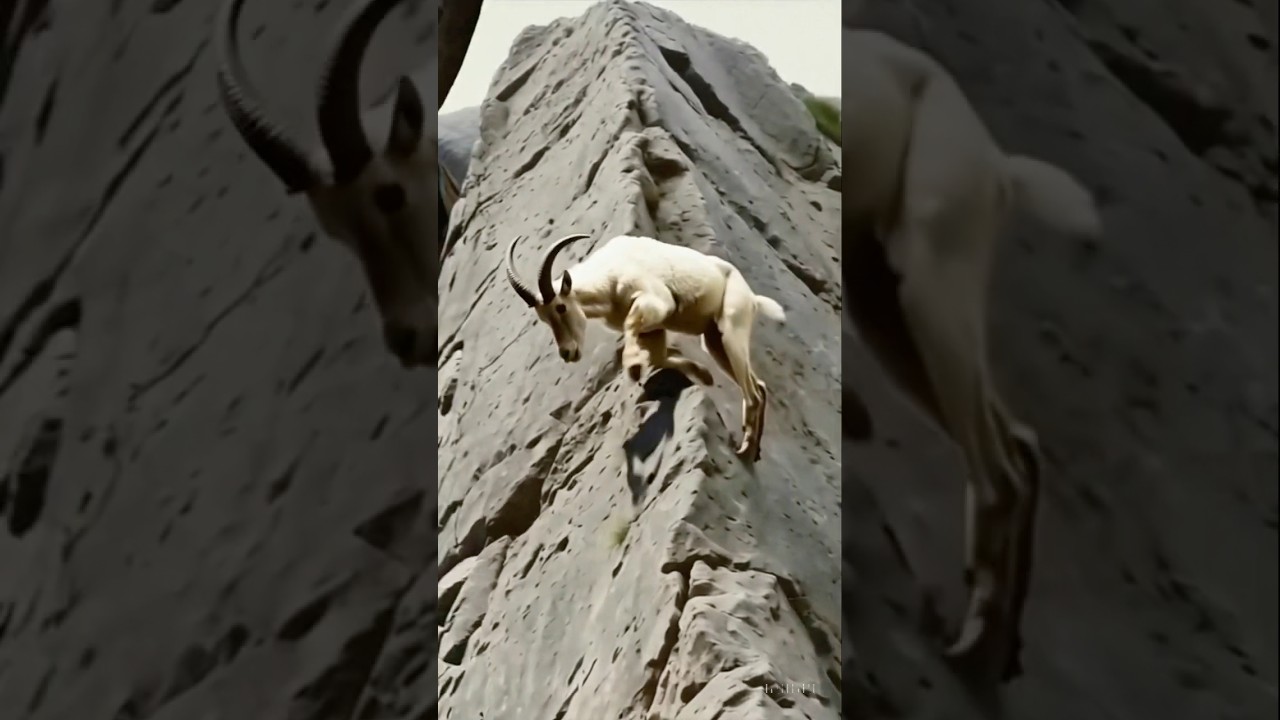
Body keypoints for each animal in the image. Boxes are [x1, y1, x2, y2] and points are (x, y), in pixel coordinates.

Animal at [505, 233, 787, 462]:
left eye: (561, 307)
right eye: (544, 318)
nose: (567, 353)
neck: (610, 275)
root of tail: (753, 298)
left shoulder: (657, 303)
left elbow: (633, 327)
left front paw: (633, 366)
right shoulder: (654, 327)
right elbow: (659, 355)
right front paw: (701, 374)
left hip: (732, 327)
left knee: (753, 392)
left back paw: (746, 447)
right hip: (713, 341)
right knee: (758, 386)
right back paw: (754, 451)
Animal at [842, 30, 1102, 682]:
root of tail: (997, 162)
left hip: (931, 282)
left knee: (999, 474)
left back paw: (977, 629)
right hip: (881, 303)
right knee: (1020, 443)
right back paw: (1001, 645)